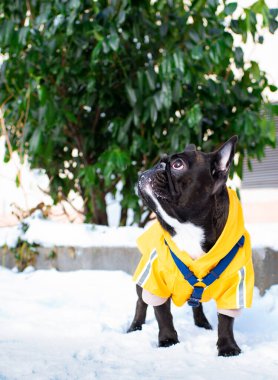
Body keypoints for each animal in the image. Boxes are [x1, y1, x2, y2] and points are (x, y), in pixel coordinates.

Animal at [128, 136, 254, 356]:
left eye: (177, 165)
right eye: (159, 162)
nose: (154, 167)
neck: (188, 227)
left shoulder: (234, 286)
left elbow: (226, 320)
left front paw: (228, 347)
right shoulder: (156, 280)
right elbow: (162, 314)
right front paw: (168, 340)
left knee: (197, 305)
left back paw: (202, 323)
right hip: (143, 277)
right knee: (141, 302)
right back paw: (135, 326)